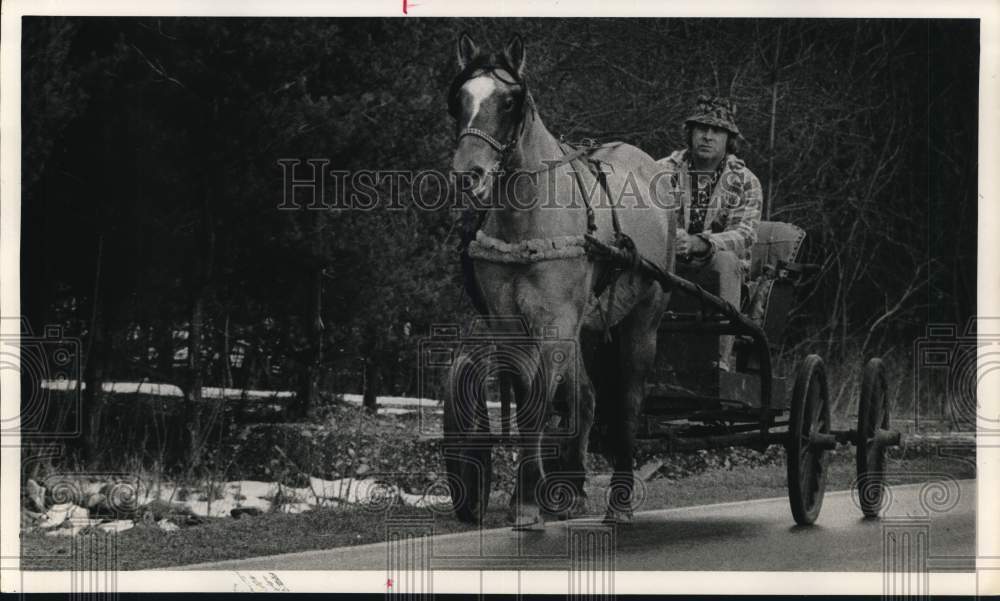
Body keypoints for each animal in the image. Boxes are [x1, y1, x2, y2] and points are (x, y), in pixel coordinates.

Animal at [448, 32, 676, 530]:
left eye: (510, 101)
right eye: (459, 99)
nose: (468, 174)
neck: (529, 222)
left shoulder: (553, 322)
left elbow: (537, 404)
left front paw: (527, 501)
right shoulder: (509, 324)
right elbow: (529, 400)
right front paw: (535, 495)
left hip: (643, 318)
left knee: (627, 402)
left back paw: (619, 501)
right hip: (584, 326)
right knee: (585, 398)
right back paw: (571, 486)